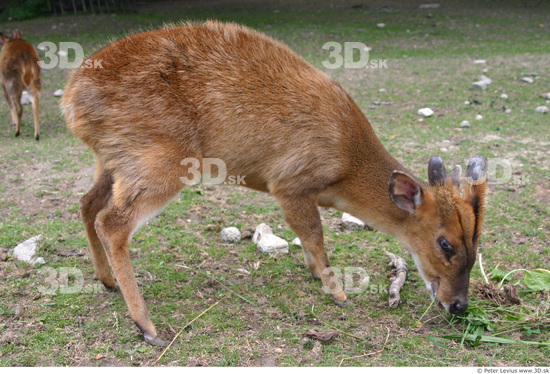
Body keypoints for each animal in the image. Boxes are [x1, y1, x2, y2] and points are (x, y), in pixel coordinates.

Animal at [61, 21, 492, 346]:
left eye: (477, 244)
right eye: (445, 243)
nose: (459, 305)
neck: (345, 168)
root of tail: (70, 100)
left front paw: (316, 273)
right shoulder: (290, 181)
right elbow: (314, 234)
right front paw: (337, 292)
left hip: (113, 159)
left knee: (87, 203)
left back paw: (106, 281)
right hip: (158, 158)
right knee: (112, 221)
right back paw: (147, 326)